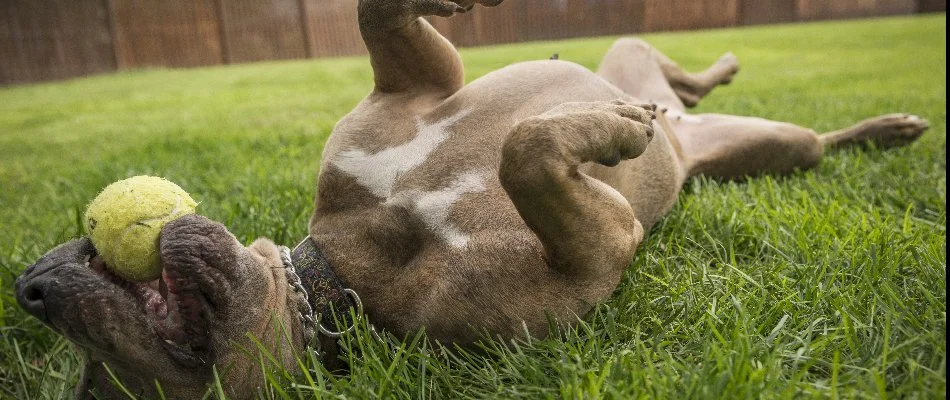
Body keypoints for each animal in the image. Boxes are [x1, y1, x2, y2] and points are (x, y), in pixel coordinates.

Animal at [13, 1, 928, 398]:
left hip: (657, 69)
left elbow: (381, 18)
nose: (33, 287)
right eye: (101, 388)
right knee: (802, 141)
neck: (342, 268)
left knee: (687, 81)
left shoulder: (414, 87)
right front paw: (607, 132)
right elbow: (527, 153)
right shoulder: (597, 247)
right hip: (769, 153)